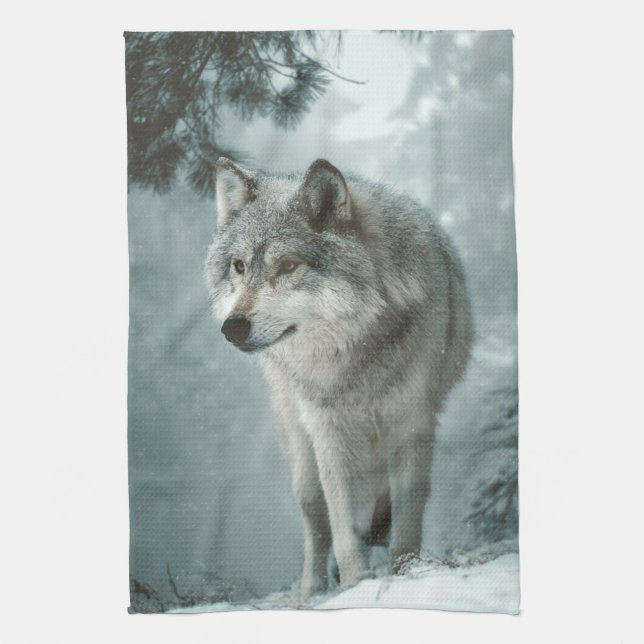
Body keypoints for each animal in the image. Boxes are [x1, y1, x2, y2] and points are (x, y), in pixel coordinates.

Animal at [204, 157, 472, 601]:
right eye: (239, 267)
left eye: (287, 266)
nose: (232, 328)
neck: (356, 352)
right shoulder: (328, 430)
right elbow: (342, 524)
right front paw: (355, 585)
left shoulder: (413, 425)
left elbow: (407, 518)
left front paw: (403, 573)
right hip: (300, 448)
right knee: (316, 518)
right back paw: (311, 590)